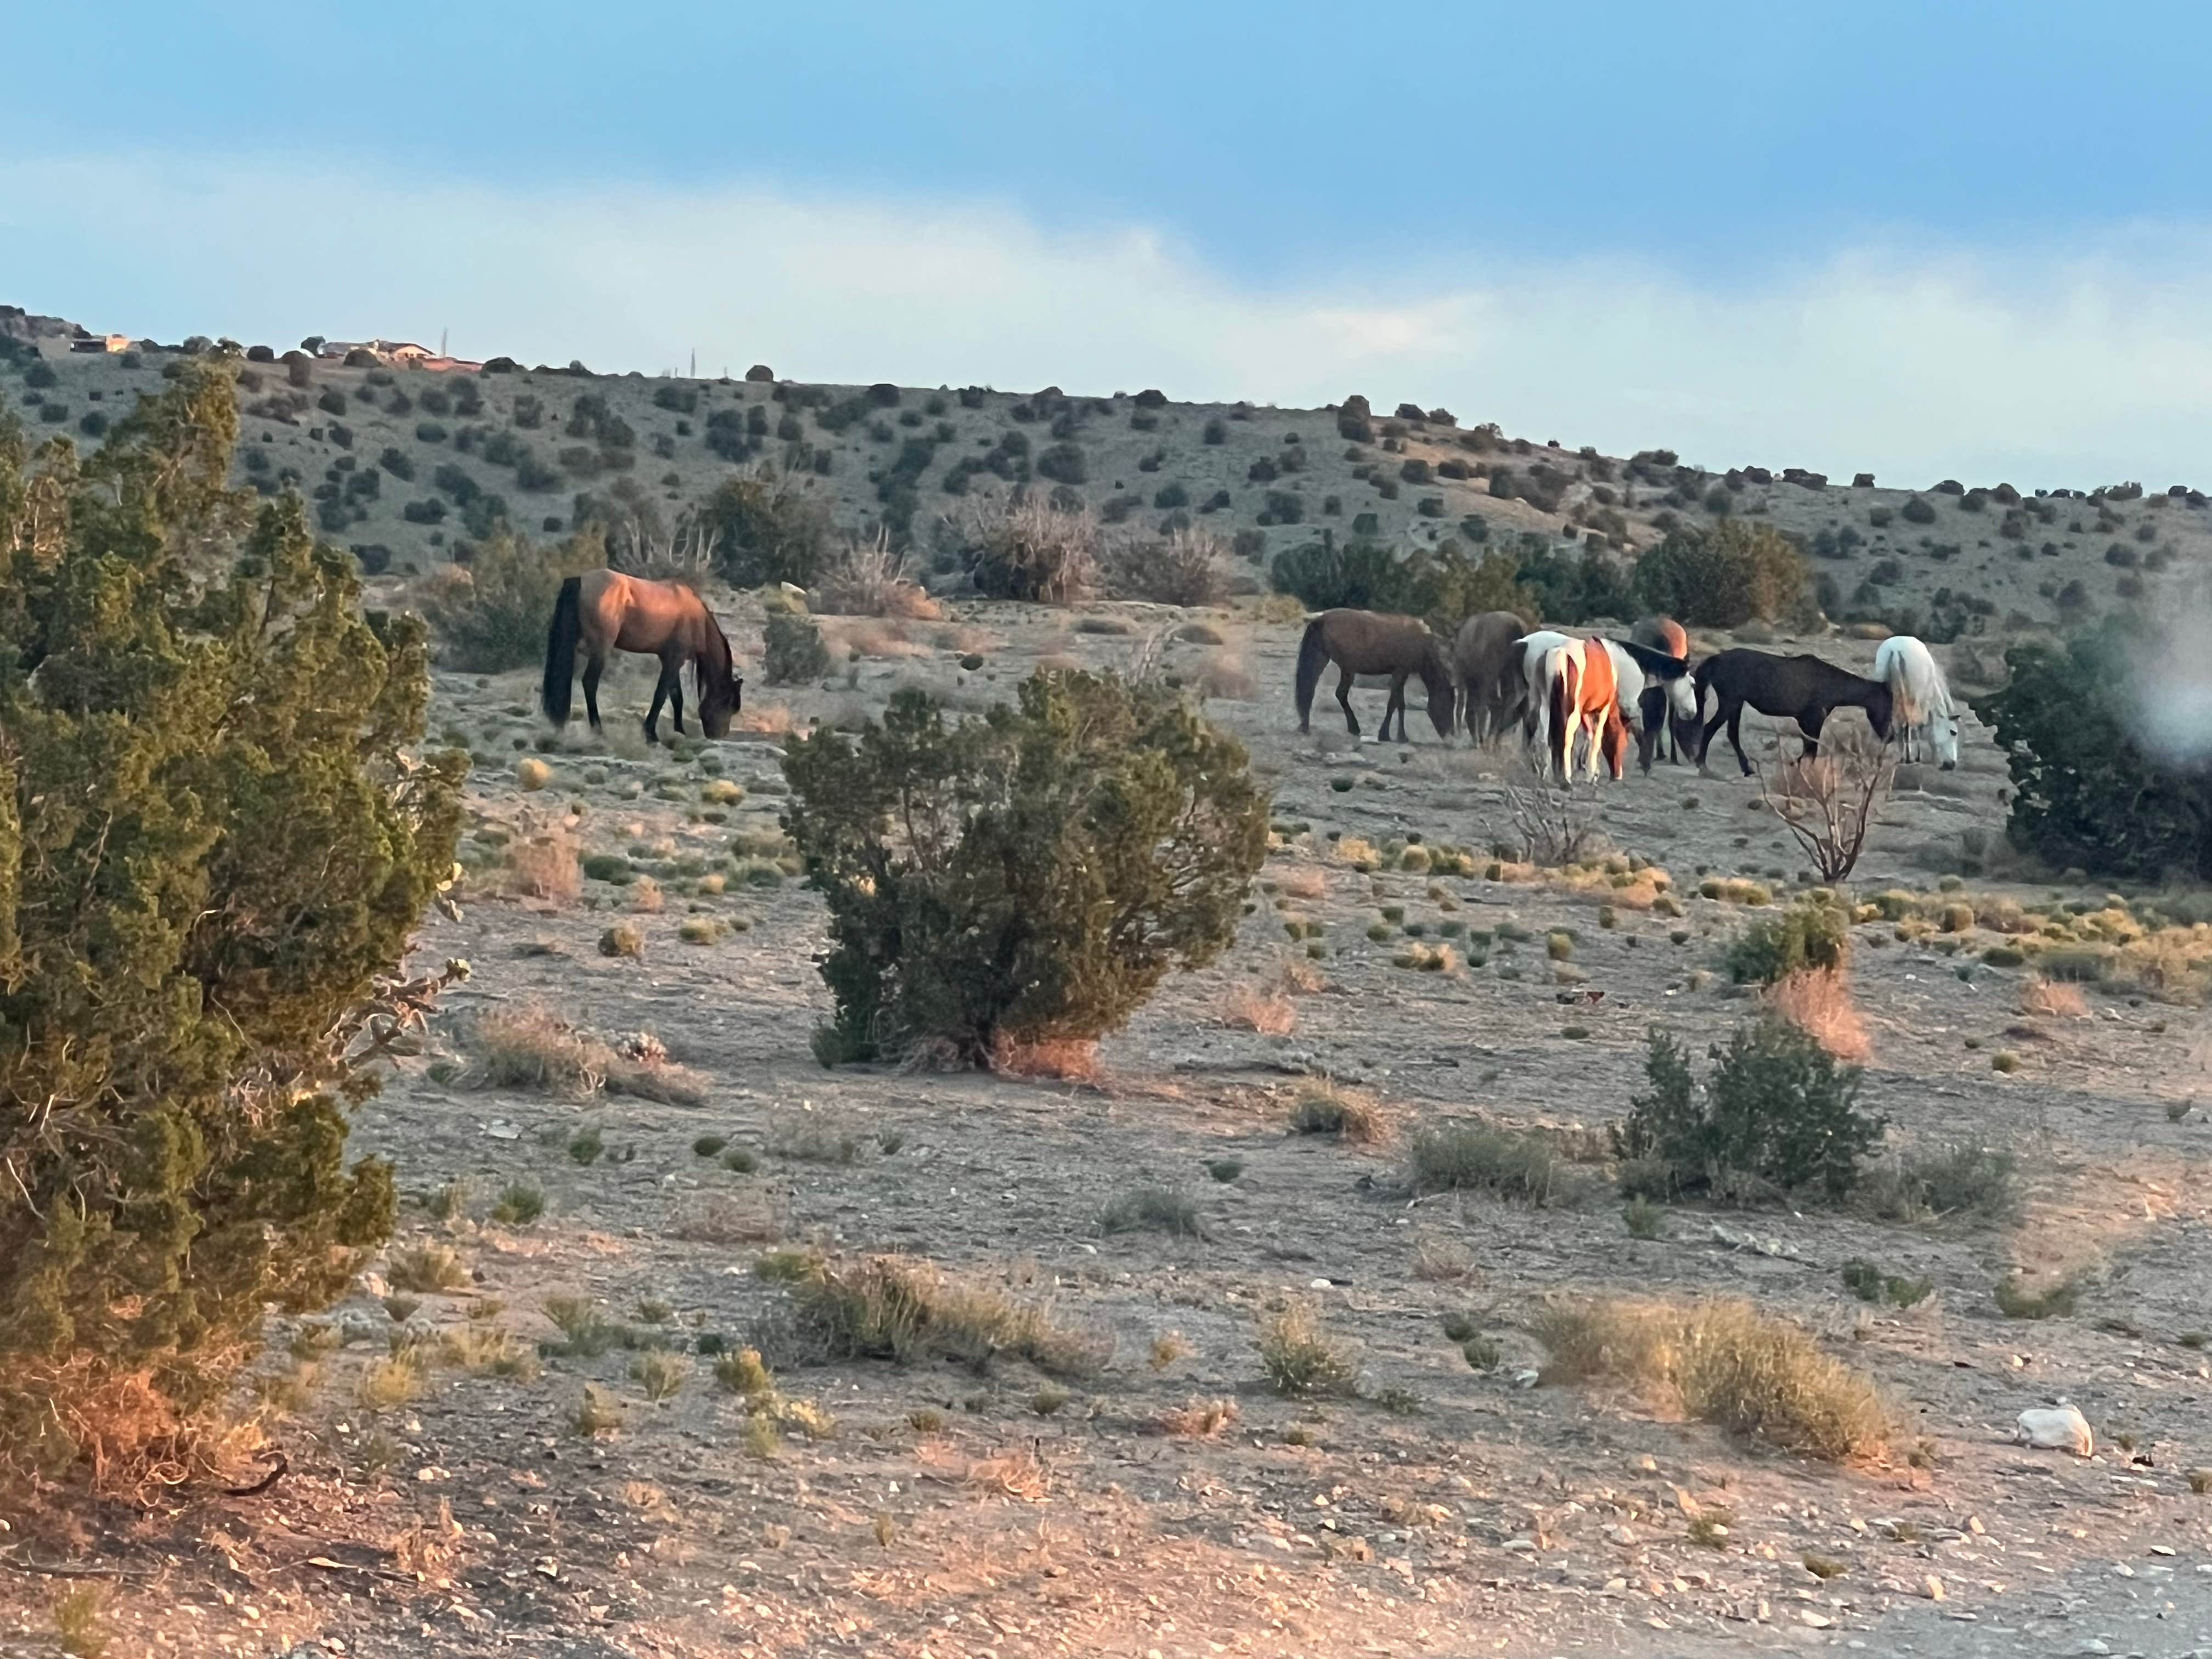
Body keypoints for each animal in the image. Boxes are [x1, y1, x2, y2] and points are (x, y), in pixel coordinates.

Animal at [542, 568, 742, 744]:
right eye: (731, 705)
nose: (719, 735)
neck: (696, 616)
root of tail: (581, 579)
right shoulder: (674, 660)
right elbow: (661, 696)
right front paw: (651, 734)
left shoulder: (669, 659)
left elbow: (677, 697)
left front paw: (680, 732)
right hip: (601, 651)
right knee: (590, 683)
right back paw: (598, 730)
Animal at [1295, 609, 1456, 743]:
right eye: (1448, 704)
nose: (1451, 735)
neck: (1422, 644)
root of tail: (1321, 619)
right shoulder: (1400, 673)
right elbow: (1393, 705)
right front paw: (1387, 735)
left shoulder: (1401, 675)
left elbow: (1400, 704)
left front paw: (1400, 736)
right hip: (1345, 667)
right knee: (1332, 692)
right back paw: (1352, 727)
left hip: (1331, 662)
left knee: (1320, 690)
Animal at [1450, 610, 1533, 743]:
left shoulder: (1467, 677)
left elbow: (1468, 707)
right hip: (1509, 675)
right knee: (1514, 703)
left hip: (1492, 674)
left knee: (1496, 704)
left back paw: (1488, 738)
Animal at [1692, 648, 1894, 777]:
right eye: (1888, 705)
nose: (1890, 736)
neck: (1831, 684)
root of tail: (1715, 660)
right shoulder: (1813, 721)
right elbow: (1811, 751)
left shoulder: (1808, 723)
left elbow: (1808, 750)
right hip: (1730, 702)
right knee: (1710, 728)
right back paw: (1703, 766)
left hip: (1736, 704)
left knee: (1731, 734)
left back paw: (1746, 769)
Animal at [1873, 635, 1960, 769]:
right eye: (1953, 732)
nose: (1951, 765)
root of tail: (1896, 649)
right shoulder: (1923, 703)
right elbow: (1919, 726)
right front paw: (1918, 757)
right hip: (1913, 696)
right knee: (1908, 722)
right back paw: (1907, 757)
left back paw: (1884, 755)